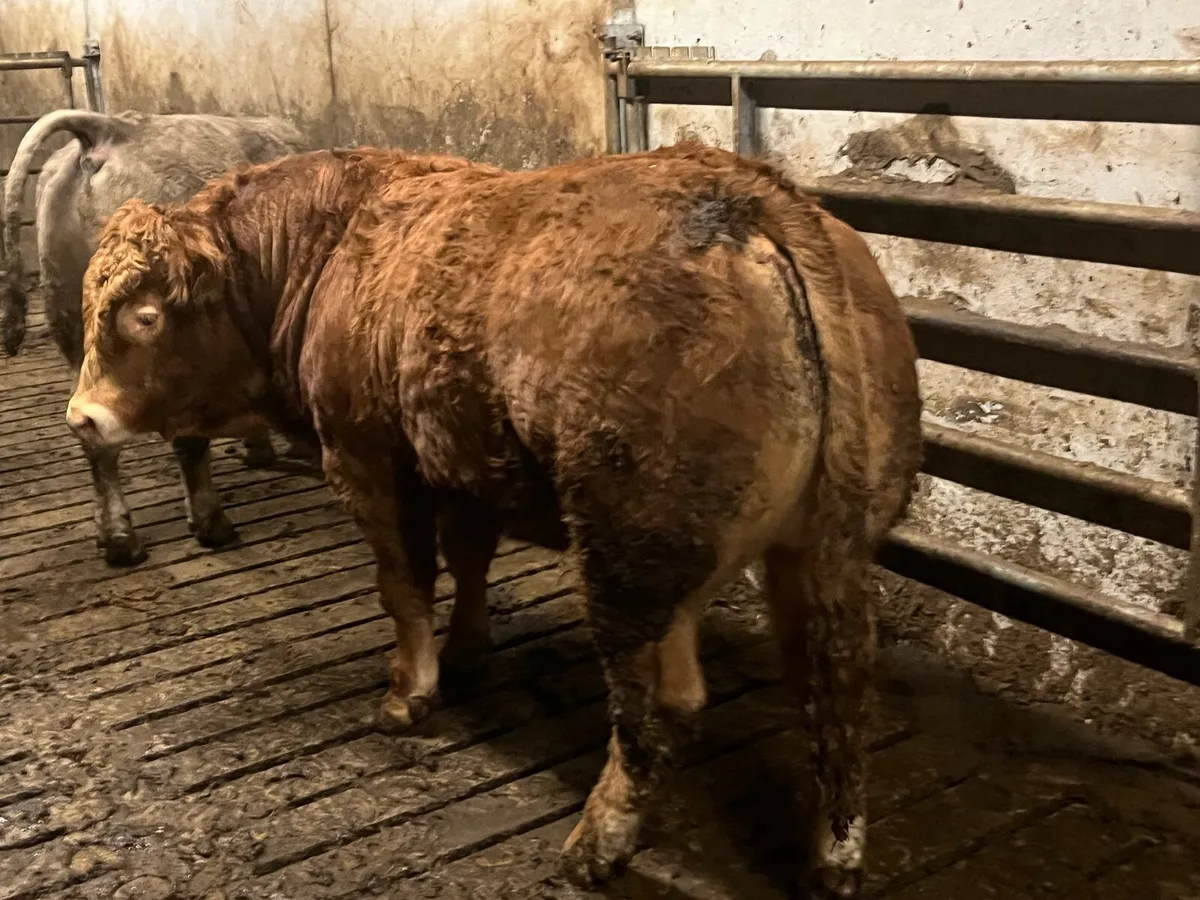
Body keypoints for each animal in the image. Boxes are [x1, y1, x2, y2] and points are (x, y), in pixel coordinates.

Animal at [64, 144, 923, 896]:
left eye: (144, 315)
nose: (83, 417)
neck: (327, 252)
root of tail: (753, 195)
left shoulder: (368, 461)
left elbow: (405, 582)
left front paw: (409, 693)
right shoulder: (459, 467)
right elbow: (469, 557)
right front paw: (468, 650)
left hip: (630, 551)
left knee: (660, 703)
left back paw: (596, 844)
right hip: (820, 546)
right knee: (836, 680)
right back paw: (834, 857)